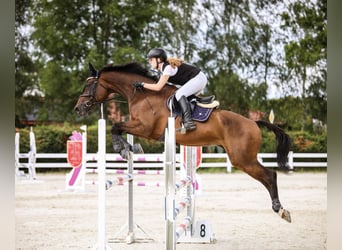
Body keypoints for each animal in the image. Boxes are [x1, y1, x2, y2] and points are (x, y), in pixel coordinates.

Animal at [74, 62, 292, 223]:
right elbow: (118, 127)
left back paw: (280, 209)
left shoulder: (145, 128)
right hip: (242, 158)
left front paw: (123, 148)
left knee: (270, 175)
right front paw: (129, 147)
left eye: (88, 85)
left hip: (242, 158)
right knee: (268, 175)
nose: (78, 108)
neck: (143, 95)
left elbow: (115, 126)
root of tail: (253, 122)